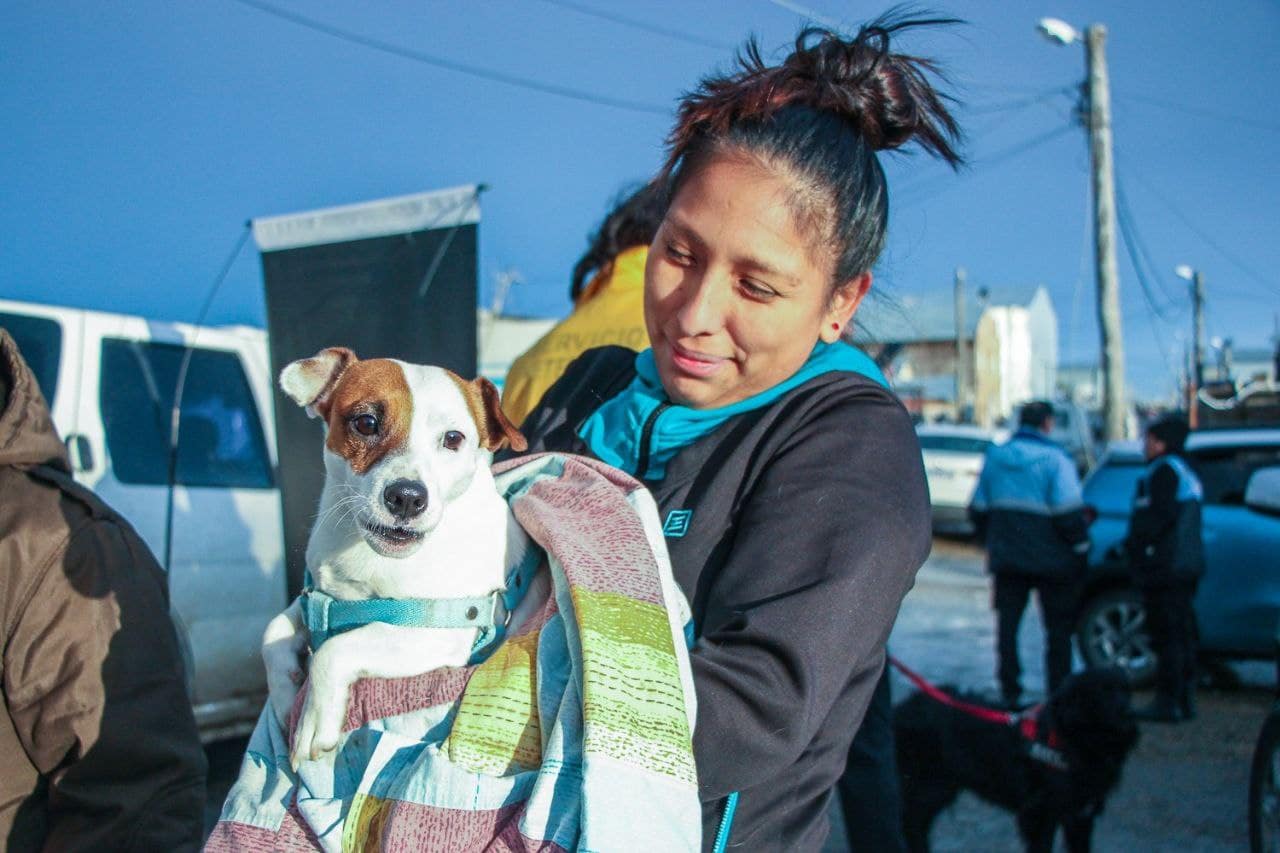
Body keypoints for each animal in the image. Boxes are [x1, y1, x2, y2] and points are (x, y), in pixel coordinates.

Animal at [264, 343, 535, 768]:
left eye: (453, 438)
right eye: (366, 423)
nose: (407, 497)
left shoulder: (437, 633)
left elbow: (334, 649)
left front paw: (312, 719)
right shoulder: (317, 601)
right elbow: (272, 631)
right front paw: (283, 697)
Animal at [890, 666, 1141, 845]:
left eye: (1125, 690)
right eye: (1102, 693)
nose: (1130, 713)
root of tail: (901, 708)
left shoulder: (1081, 817)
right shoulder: (1040, 815)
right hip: (925, 788)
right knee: (908, 823)